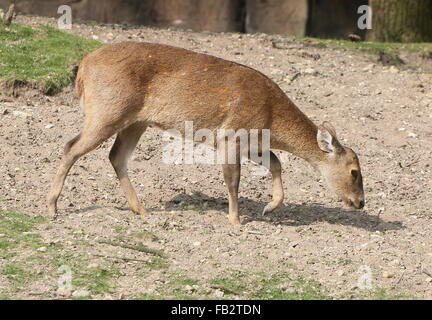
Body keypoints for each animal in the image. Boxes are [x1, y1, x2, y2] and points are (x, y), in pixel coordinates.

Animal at [47, 42, 364, 225]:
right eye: (354, 171)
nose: (361, 202)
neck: (270, 118)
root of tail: (83, 69)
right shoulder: (231, 135)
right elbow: (233, 181)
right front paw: (236, 221)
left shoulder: (253, 143)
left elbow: (276, 162)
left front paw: (269, 208)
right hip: (107, 110)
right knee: (70, 146)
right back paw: (52, 207)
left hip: (136, 121)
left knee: (116, 156)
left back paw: (141, 210)